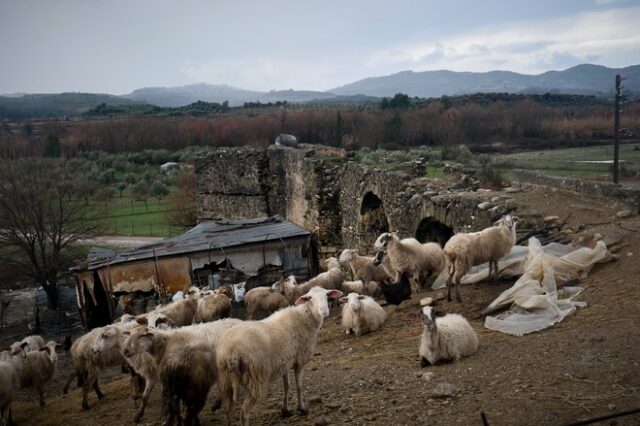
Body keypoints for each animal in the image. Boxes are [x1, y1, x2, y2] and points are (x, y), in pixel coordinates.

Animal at [216, 286, 344, 426]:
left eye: (327, 295)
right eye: (310, 298)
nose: (324, 311)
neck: (305, 317)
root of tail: (231, 353)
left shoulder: (284, 362)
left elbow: (286, 386)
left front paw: (285, 410)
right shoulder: (300, 361)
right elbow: (299, 386)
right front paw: (302, 408)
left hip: (226, 379)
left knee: (227, 411)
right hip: (255, 377)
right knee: (244, 413)